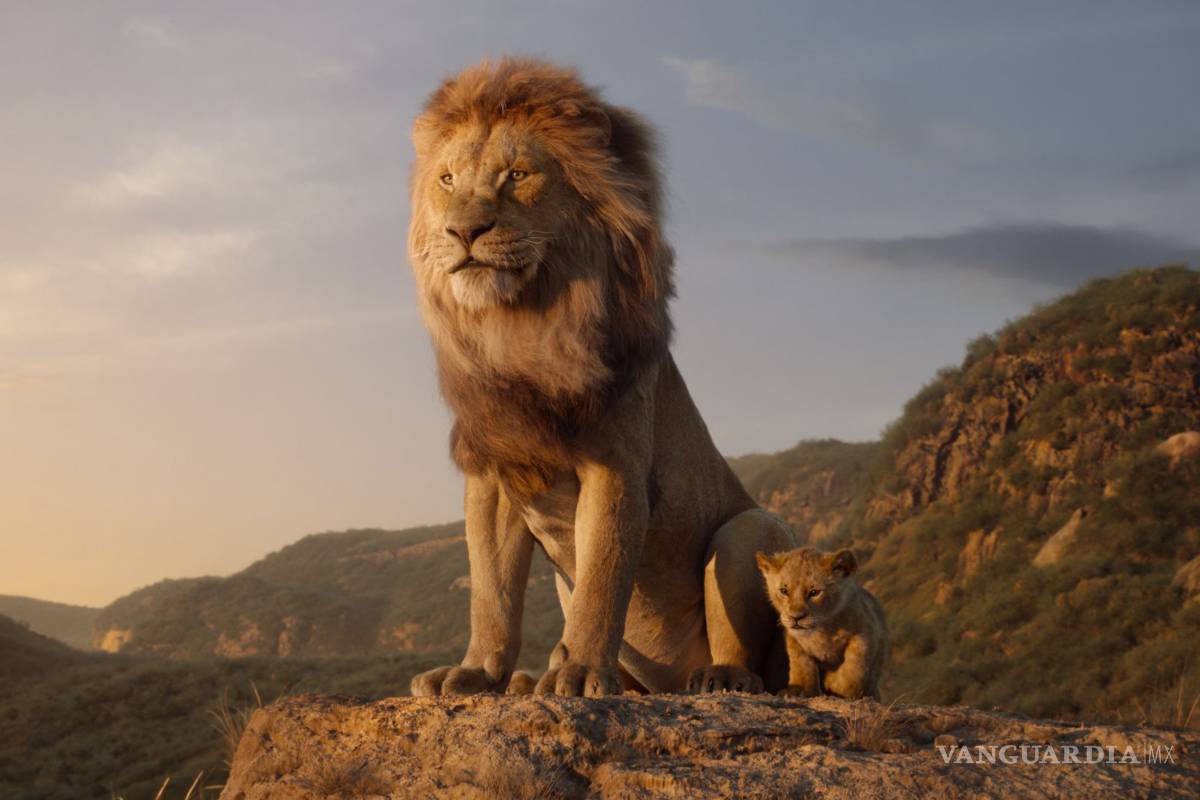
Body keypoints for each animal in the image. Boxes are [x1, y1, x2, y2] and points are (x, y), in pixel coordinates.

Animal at [406, 57, 795, 698]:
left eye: (517, 175)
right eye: (446, 180)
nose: (463, 232)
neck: (521, 327)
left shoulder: (616, 464)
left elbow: (602, 579)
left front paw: (582, 672)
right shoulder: (494, 473)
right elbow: (491, 592)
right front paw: (476, 672)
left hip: (749, 529)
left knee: (752, 659)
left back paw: (718, 677)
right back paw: (530, 680)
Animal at [755, 548, 888, 700]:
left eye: (814, 592)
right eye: (784, 591)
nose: (796, 617)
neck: (821, 629)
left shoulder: (866, 632)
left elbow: (855, 665)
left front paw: (836, 684)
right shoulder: (794, 640)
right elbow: (801, 664)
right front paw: (799, 690)